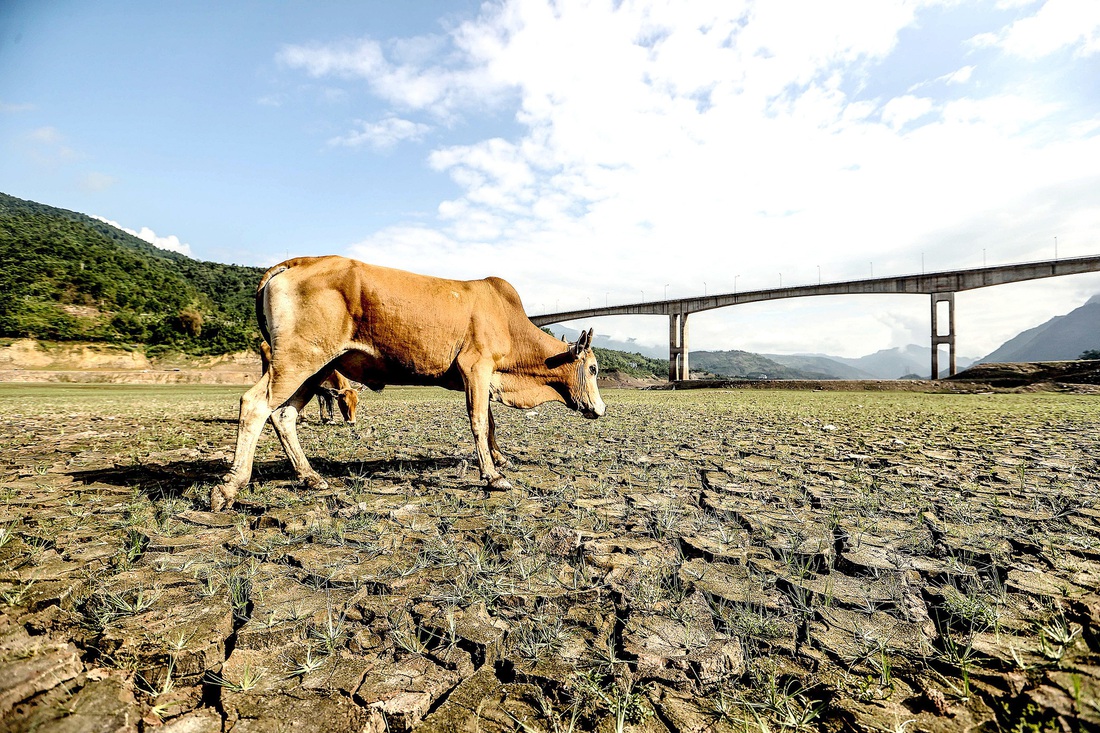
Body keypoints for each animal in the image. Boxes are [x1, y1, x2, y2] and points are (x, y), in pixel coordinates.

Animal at [212, 254, 611, 510]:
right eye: (592, 369)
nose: (601, 408)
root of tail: (293, 262)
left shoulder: (483, 377)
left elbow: (491, 423)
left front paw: (500, 458)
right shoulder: (476, 368)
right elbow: (480, 422)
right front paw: (492, 476)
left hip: (315, 368)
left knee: (283, 416)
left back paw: (310, 476)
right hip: (298, 360)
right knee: (255, 405)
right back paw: (230, 486)